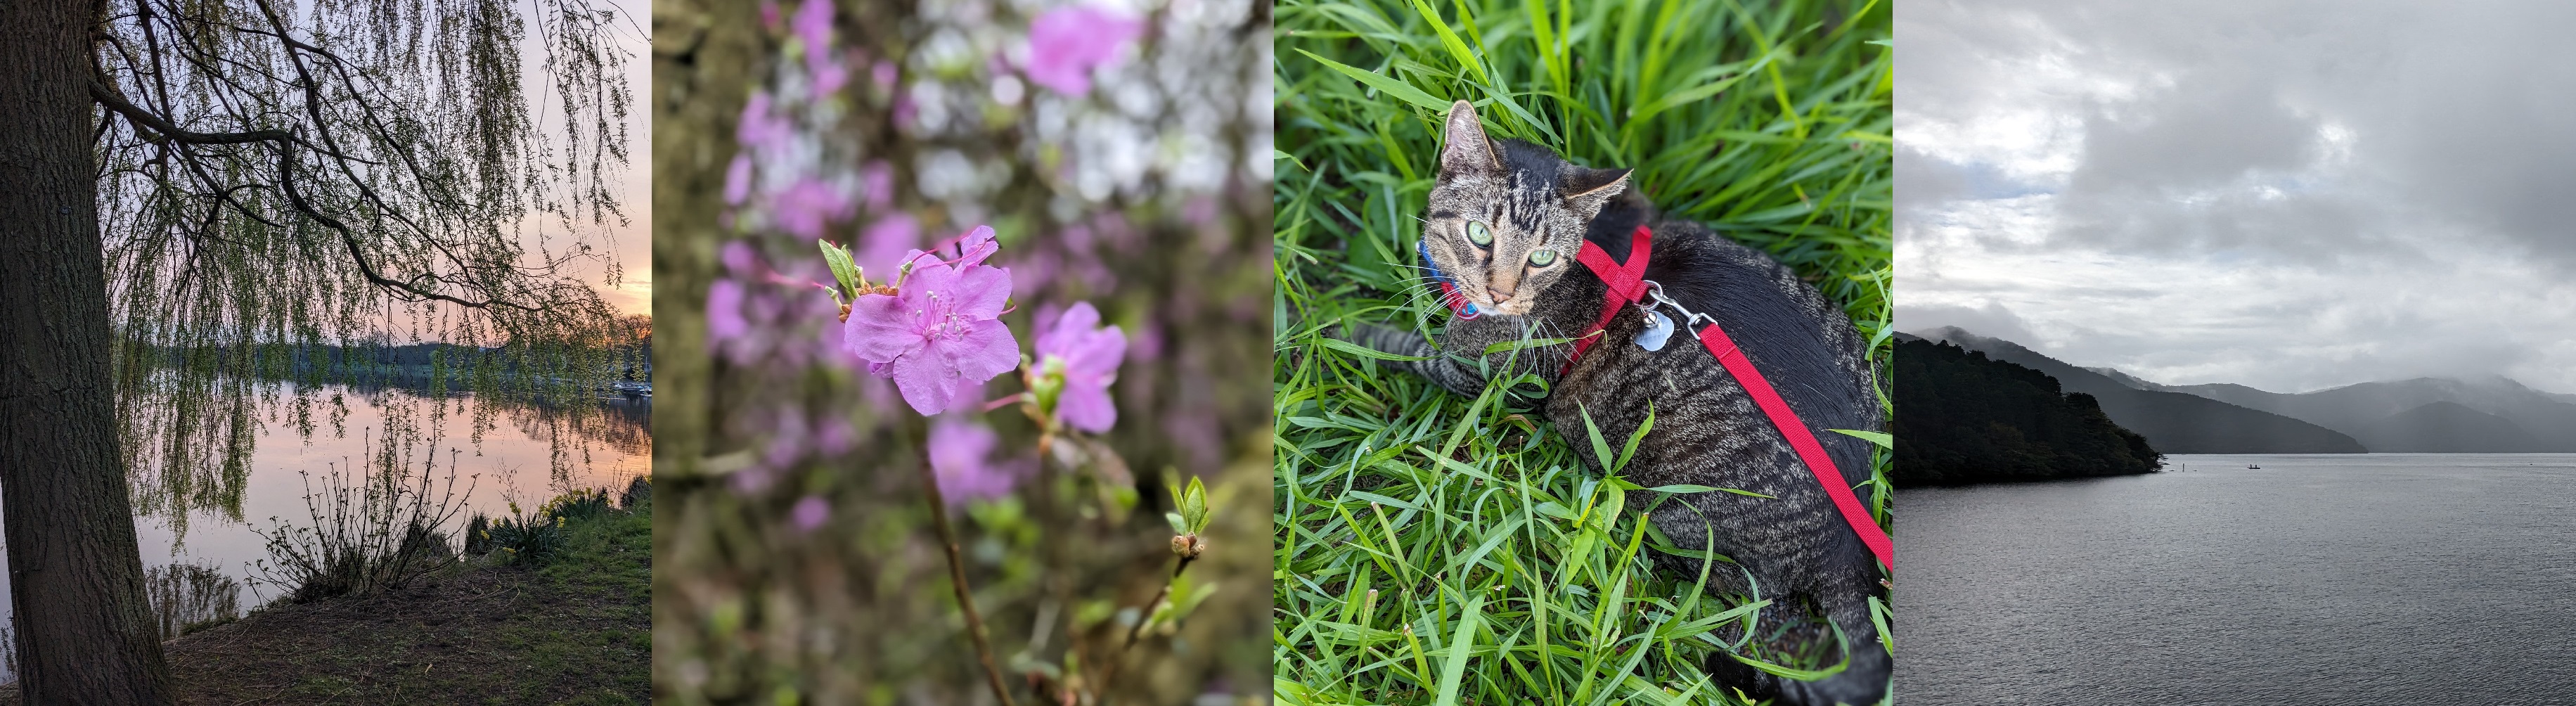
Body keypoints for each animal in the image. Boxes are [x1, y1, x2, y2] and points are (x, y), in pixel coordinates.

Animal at [1349, 100, 1895, 706]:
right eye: (1478, 233)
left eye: (1541, 257)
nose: (1499, 293)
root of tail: (1850, 546)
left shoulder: (1480, 373)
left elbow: (1404, 350)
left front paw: (1344, 330)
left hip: (1676, 512)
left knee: (1759, 609)